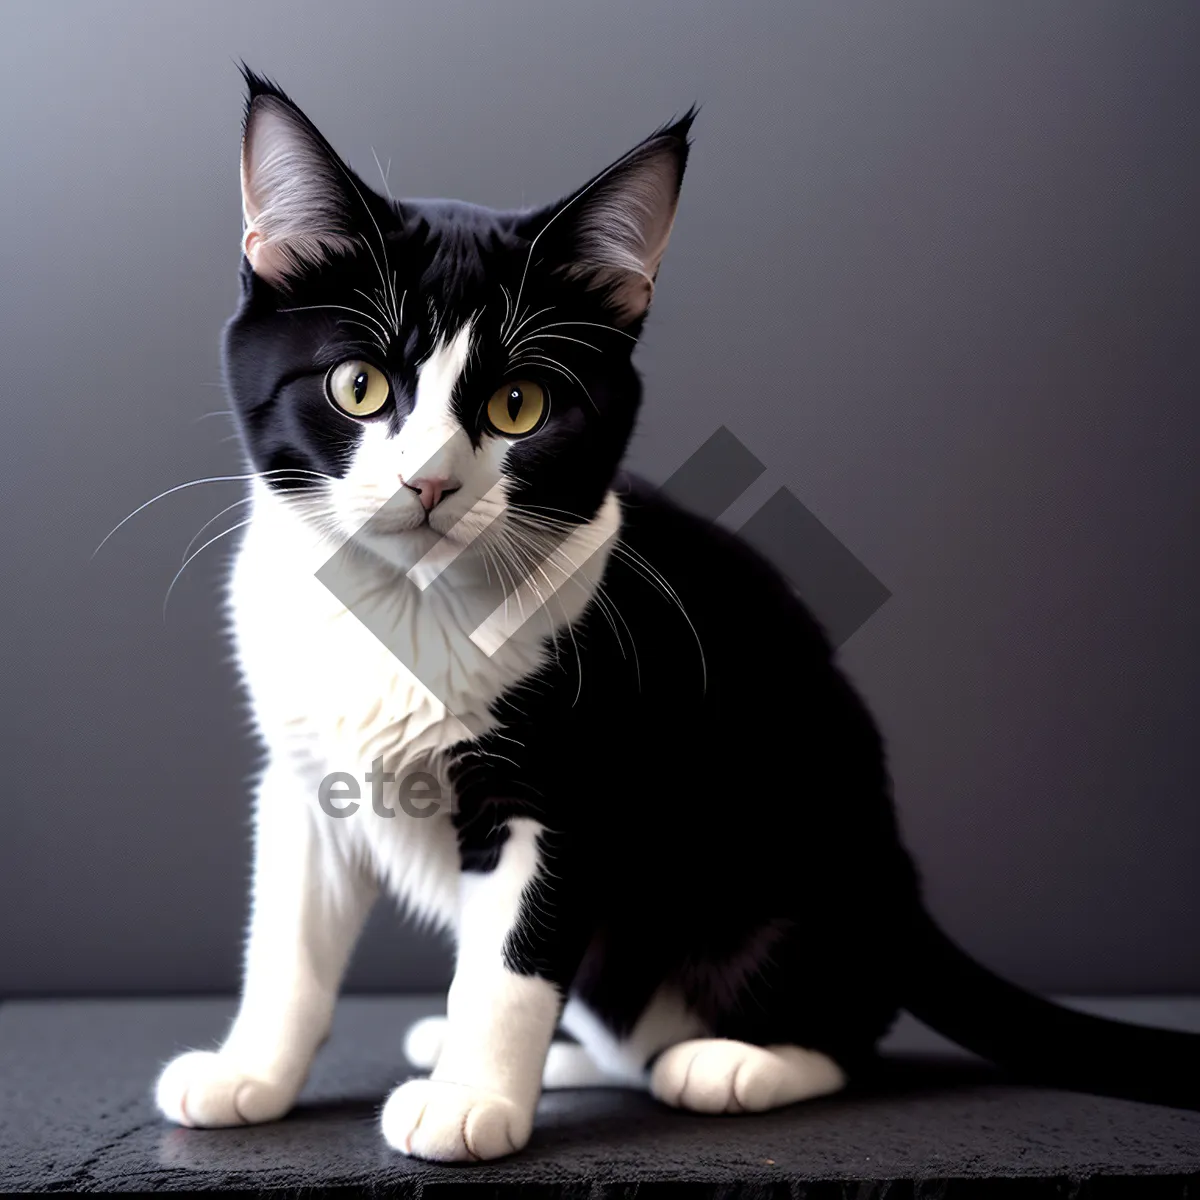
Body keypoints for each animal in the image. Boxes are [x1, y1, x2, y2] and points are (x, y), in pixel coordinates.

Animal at [154, 70, 1195, 1156]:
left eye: (520, 406)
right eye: (358, 385)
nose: (430, 483)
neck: (408, 606)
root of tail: (901, 895)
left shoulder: (570, 774)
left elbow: (514, 960)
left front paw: (471, 1101)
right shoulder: (301, 776)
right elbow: (287, 943)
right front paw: (250, 1072)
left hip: (786, 866)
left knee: (835, 1031)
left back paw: (731, 1063)